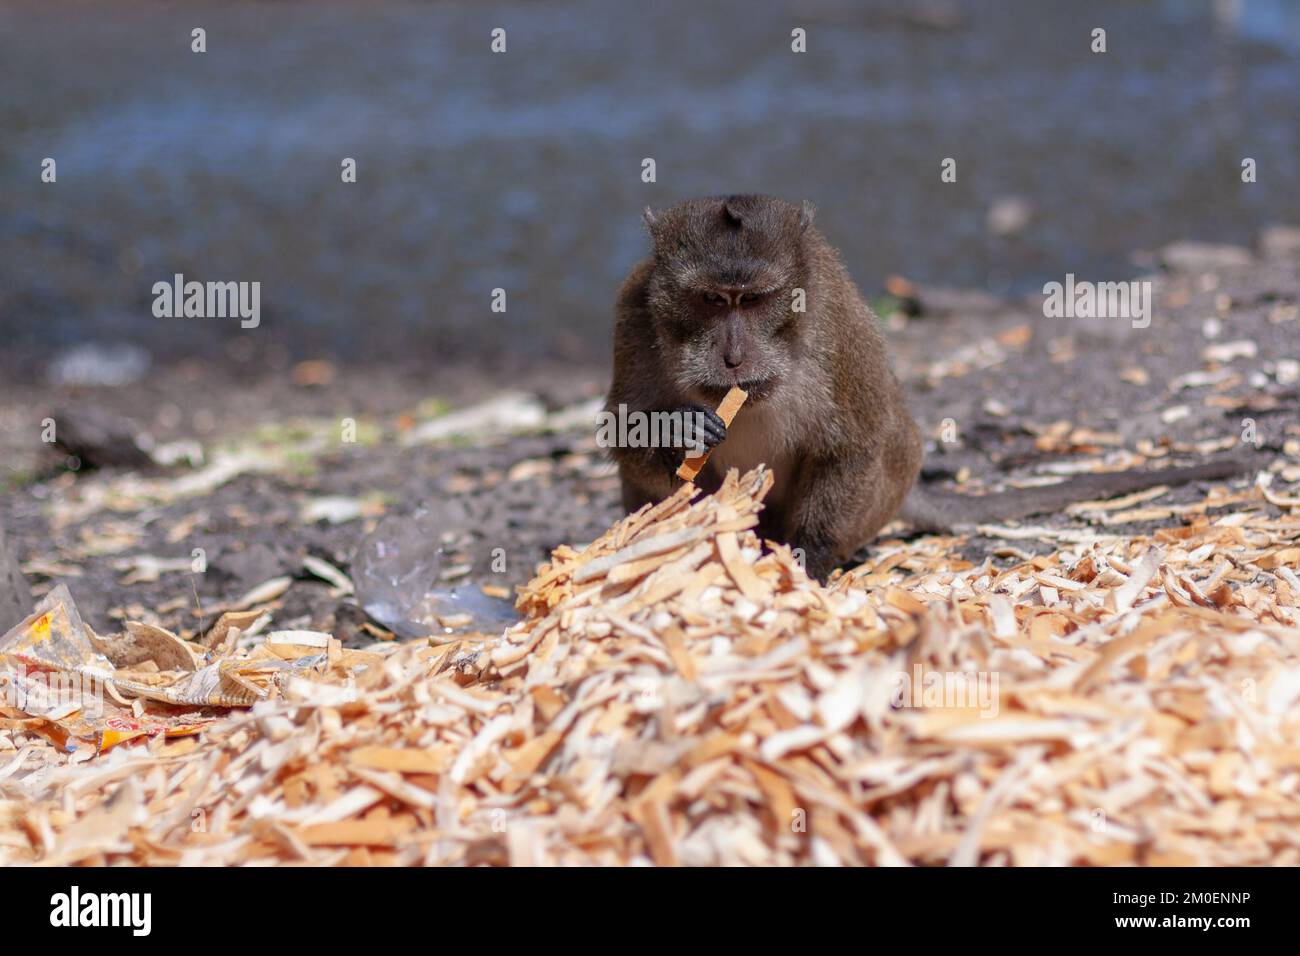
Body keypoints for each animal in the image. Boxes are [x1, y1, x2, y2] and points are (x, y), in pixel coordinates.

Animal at [605, 195, 1253, 581]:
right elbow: (622, 431)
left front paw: (805, 563)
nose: (734, 356)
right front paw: (678, 430)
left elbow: (855, 445)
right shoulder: (633, 315)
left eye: (754, 300)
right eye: (711, 300)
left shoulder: (835, 328)